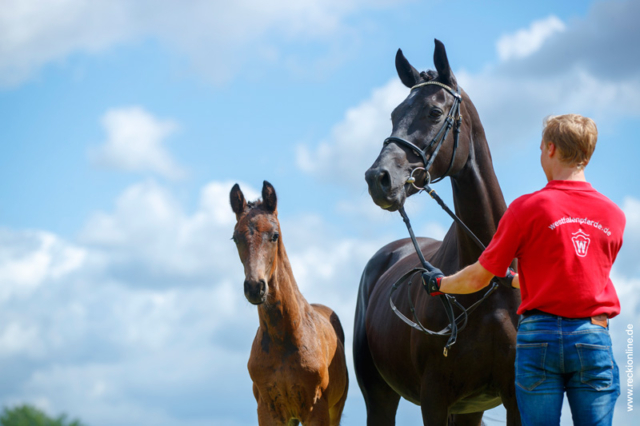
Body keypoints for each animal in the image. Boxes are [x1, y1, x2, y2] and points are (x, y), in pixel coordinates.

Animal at [230, 181, 350, 424]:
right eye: (235, 238)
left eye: (275, 235)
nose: (255, 287)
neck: (284, 338)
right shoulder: (268, 410)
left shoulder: (317, 409)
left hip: (336, 408)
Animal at [352, 39, 524, 422]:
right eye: (393, 114)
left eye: (433, 112)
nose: (378, 178)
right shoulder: (434, 398)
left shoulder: (516, 396)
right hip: (380, 397)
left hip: (471, 409)